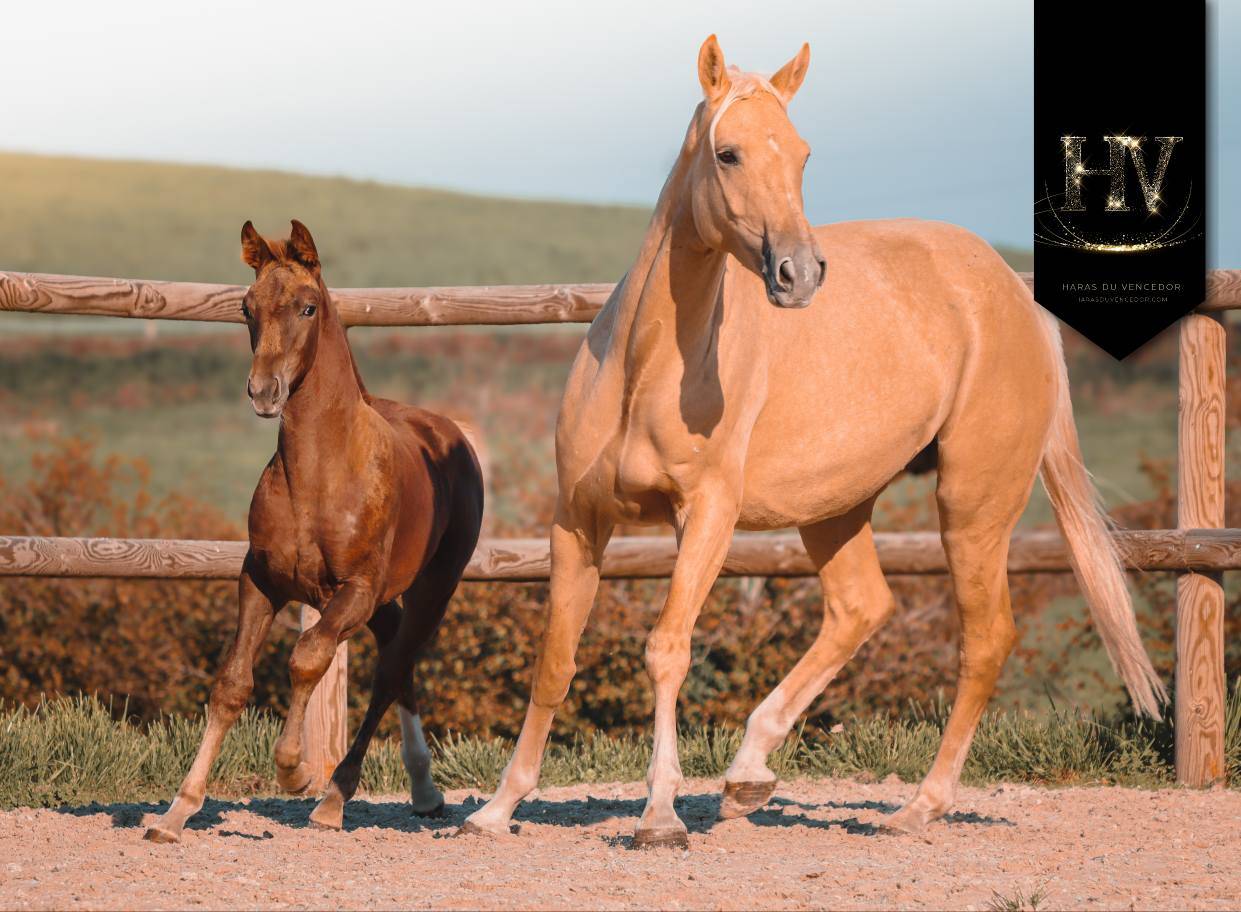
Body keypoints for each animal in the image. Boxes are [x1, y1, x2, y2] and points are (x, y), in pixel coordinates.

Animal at [145, 220, 484, 842]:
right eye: (246, 307)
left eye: (306, 307)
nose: (264, 392)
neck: (319, 475)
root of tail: (450, 433)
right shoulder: (260, 580)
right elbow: (232, 684)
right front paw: (176, 812)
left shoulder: (354, 590)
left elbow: (306, 658)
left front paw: (295, 770)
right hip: (383, 601)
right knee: (398, 656)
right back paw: (423, 791)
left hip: (433, 588)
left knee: (393, 667)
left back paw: (333, 799)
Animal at [461, 36, 1165, 848]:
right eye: (728, 153)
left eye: (801, 155)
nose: (798, 274)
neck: (644, 368)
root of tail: (1010, 291)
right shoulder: (577, 521)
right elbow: (555, 659)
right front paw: (496, 809)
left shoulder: (707, 517)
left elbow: (667, 648)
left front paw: (660, 815)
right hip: (836, 508)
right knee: (862, 608)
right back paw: (746, 777)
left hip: (972, 504)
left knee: (985, 638)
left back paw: (916, 807)